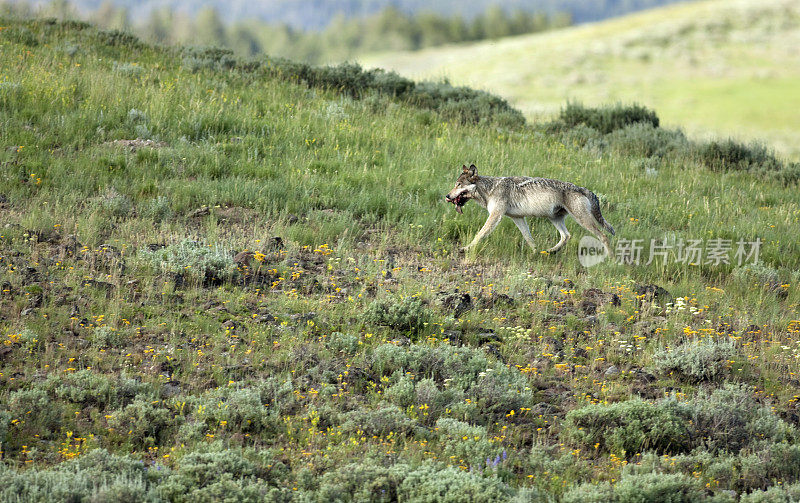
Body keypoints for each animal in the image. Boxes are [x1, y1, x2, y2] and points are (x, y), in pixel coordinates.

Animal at [444, 165, 612, 256]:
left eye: (458, 184)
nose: (447, 196)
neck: (489, 189)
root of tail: (582, 188)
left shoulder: (495, 215)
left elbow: (479, 235)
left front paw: (465, 248)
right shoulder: (517, 218)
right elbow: (529, 239)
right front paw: (535, 253)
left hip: (582, 220)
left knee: (604, 236)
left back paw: (610, 259)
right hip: (554, 219)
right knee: (567, 236)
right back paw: (550, 251)